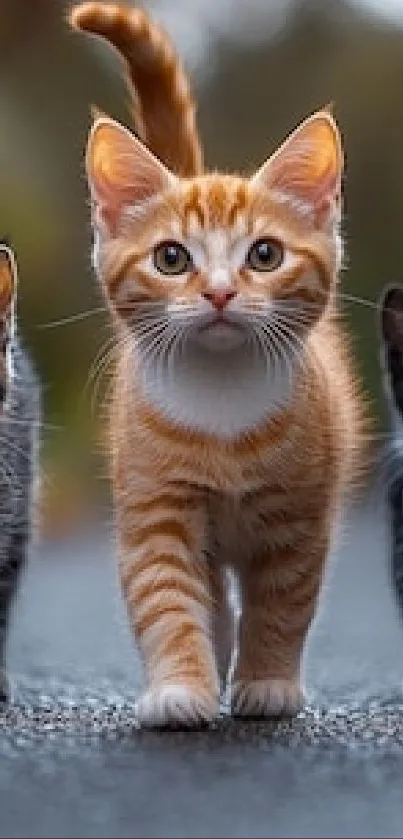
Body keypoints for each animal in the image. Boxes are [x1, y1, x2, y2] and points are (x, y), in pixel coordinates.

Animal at [69, 1, 366, 728]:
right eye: (172, 258)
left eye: (264, 255)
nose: (221, 292)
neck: (223, 406)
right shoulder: (156, 505)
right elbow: (169, 599)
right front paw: (181, 685)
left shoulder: (298, 519)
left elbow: (281, 606)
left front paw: (266, 682)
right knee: (208, 592)